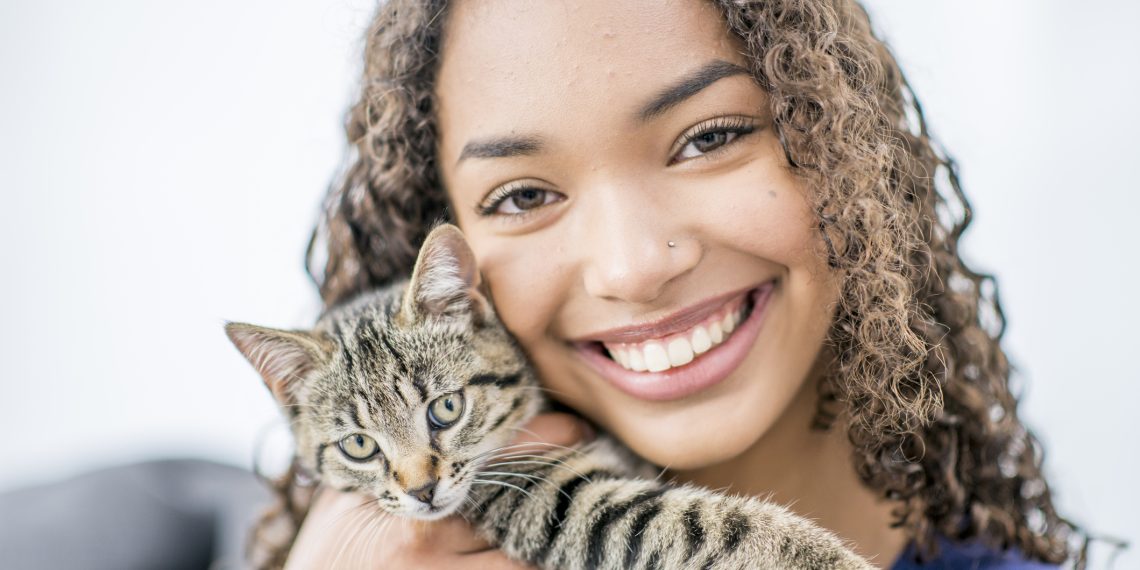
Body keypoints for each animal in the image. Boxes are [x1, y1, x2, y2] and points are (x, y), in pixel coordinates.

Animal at [229, 224, 870, 567]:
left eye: (445, 408)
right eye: (359, 446)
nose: (422, 491)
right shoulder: (550, 500)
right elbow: (700, 522)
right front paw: (820, 556)